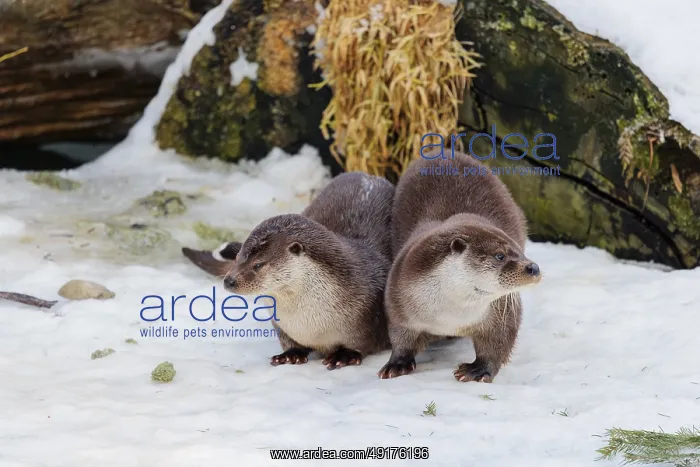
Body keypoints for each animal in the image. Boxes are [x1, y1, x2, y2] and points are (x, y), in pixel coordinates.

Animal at [182, 172, 394, 369]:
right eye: (237, 258)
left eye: (258, 264)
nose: (229, 280)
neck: (312, 324)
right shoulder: (282, 325)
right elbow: (290, 342)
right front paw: (291, 354)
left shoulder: (367, 321)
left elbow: (361, 344)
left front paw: (344, 355)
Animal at [376, 151, 542, 383]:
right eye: (500, 255)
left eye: (520, 251)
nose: (533, 268)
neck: (450, 315)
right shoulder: (398, 300)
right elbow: (401, 336)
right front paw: (397, 363)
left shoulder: (501, 311)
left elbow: (497, 342)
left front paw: (478, 369)